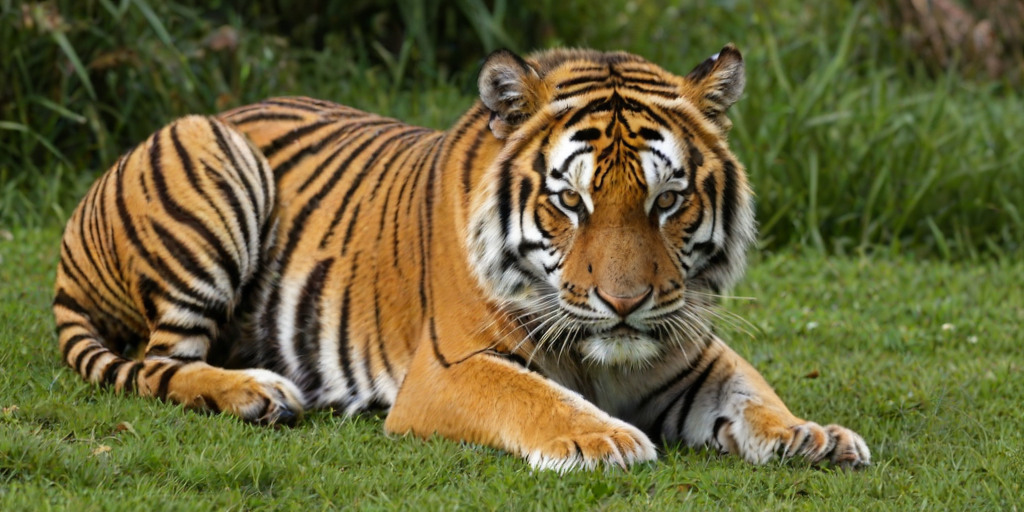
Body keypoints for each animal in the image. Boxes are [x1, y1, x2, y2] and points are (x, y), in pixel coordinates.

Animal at [53, 44, 870, 471]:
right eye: (570, 202)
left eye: (667, 201)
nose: (625, 304)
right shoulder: (449, 368)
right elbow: (533, 395)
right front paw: (604, 436)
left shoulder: (691, 352)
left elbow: (753, 395)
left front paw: (811, 434)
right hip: (213, 159)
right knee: (162, 361)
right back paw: (257, 393)